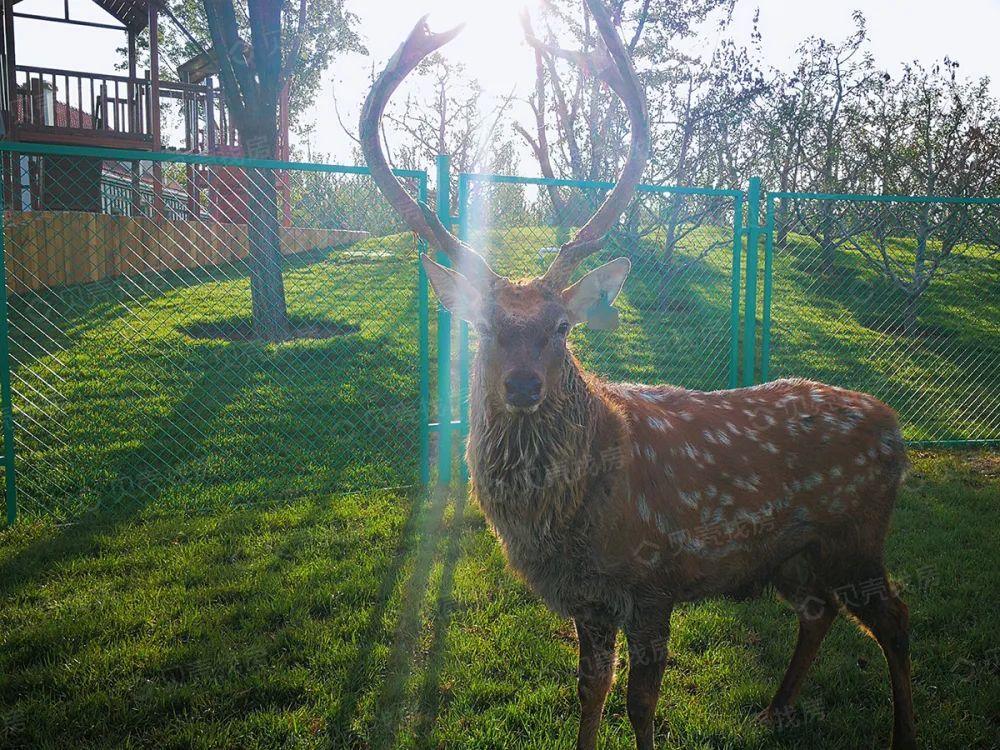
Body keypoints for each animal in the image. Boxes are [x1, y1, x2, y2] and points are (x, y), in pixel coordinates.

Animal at [358, 2, 916, 748]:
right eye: (484, 328)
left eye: (560, 328)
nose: (524, 385)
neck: (571, 523)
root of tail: (893, 426)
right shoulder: (589, 599)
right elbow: (591, 689)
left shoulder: (654, 576)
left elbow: (642, 699)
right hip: (792, 555)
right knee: (818, 610)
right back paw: (774, 708)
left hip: (856, 535)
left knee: (895, 619)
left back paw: (900, 732)